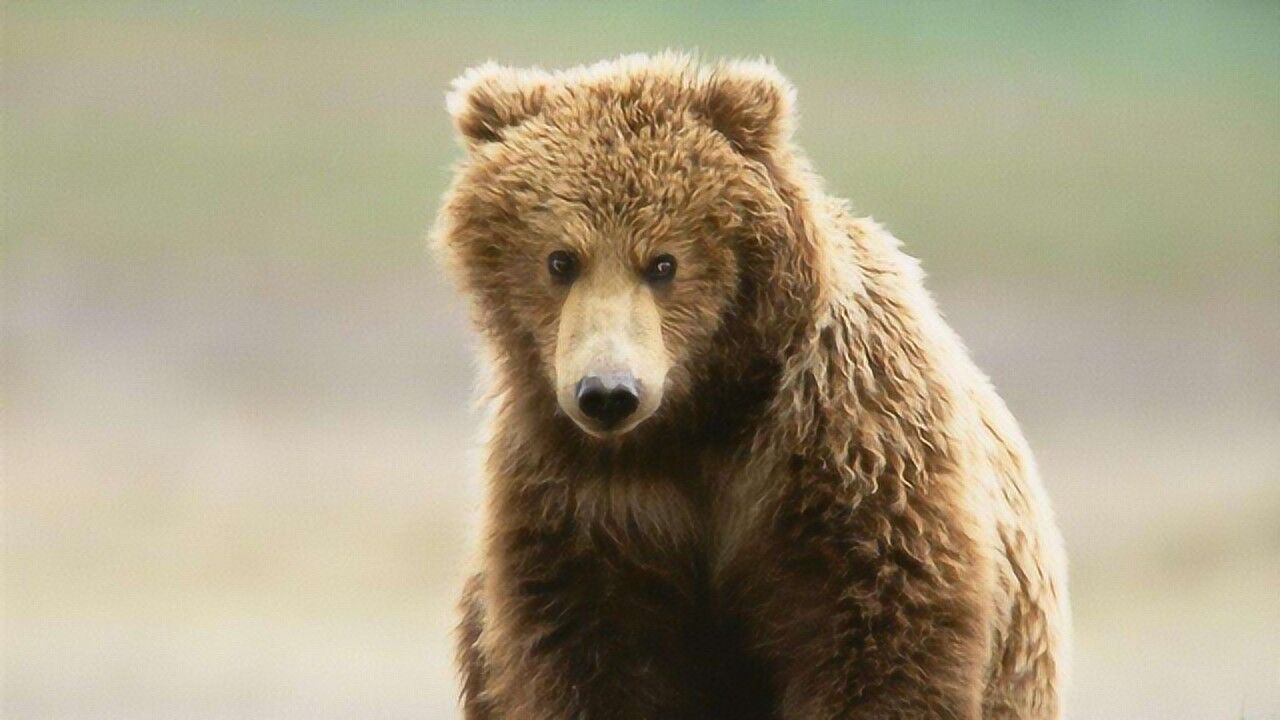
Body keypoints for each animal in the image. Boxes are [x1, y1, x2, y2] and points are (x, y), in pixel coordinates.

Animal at [433, 53, 1069, 720]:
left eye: (663, 262)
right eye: (561, 259)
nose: (608, 392)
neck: (699, 415)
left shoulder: (847, 442)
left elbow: (881, 639)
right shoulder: (578, 497)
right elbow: (585, 652)